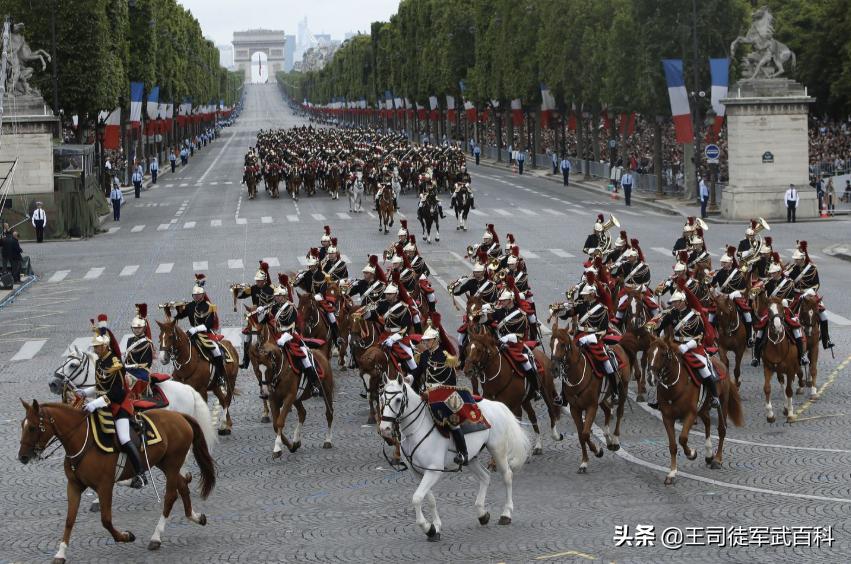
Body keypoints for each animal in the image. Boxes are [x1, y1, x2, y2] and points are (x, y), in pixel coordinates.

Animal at [18, 398, 216, 560]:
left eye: (32, 428)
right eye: (22, 425)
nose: (22, 457)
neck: (82, 440)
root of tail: (179, 416)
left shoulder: (105, 486)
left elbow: (106, 520)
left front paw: (126, 536)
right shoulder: (74, 486)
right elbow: (69, 520)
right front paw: (60, 553)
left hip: (173, 464)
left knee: (170, 496)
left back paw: (156, 536)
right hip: (165, 464)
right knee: (182, 485)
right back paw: (195, 517)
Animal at [382, 374, 532, 540]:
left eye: (397, 400)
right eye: (381, 398)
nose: (385, 429)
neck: (417, 429)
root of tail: (497, 406)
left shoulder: (433, 471)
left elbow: (416, 498)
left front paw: (428, 528)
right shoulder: (418, 473)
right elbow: (429, 499)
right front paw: (436, 527)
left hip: (497, 450)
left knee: (507, 476)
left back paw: (506, 514)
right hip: (471, 458)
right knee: (485, 476)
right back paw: (482, 514)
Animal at [552, 326, 632, 472]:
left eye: (562, 344)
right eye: (551, 344)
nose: (554, 369)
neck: (577, 375)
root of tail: (618, 346)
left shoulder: (591, 407)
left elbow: (585, 433)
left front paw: (597, 451)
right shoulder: (575, 409)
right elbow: (580, 435)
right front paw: (584, 462)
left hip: (623, 389)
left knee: (619, 412)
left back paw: (615, 440)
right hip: (602, 398)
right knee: (607, 410)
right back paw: (608, 439)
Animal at [648, 338, 744, 482]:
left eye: (664, 354)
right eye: (648, 352)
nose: (650, 378)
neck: (674, 388)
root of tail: (721, 364)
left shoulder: (690, 414)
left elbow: (682, 439)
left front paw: (692, 454)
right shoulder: (667, 418)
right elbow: (672, 446)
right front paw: (672, 472)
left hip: (722, 402)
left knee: (721, 429)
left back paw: (717, 459)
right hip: (703, 408)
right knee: (708, 422)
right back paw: (709, 454)